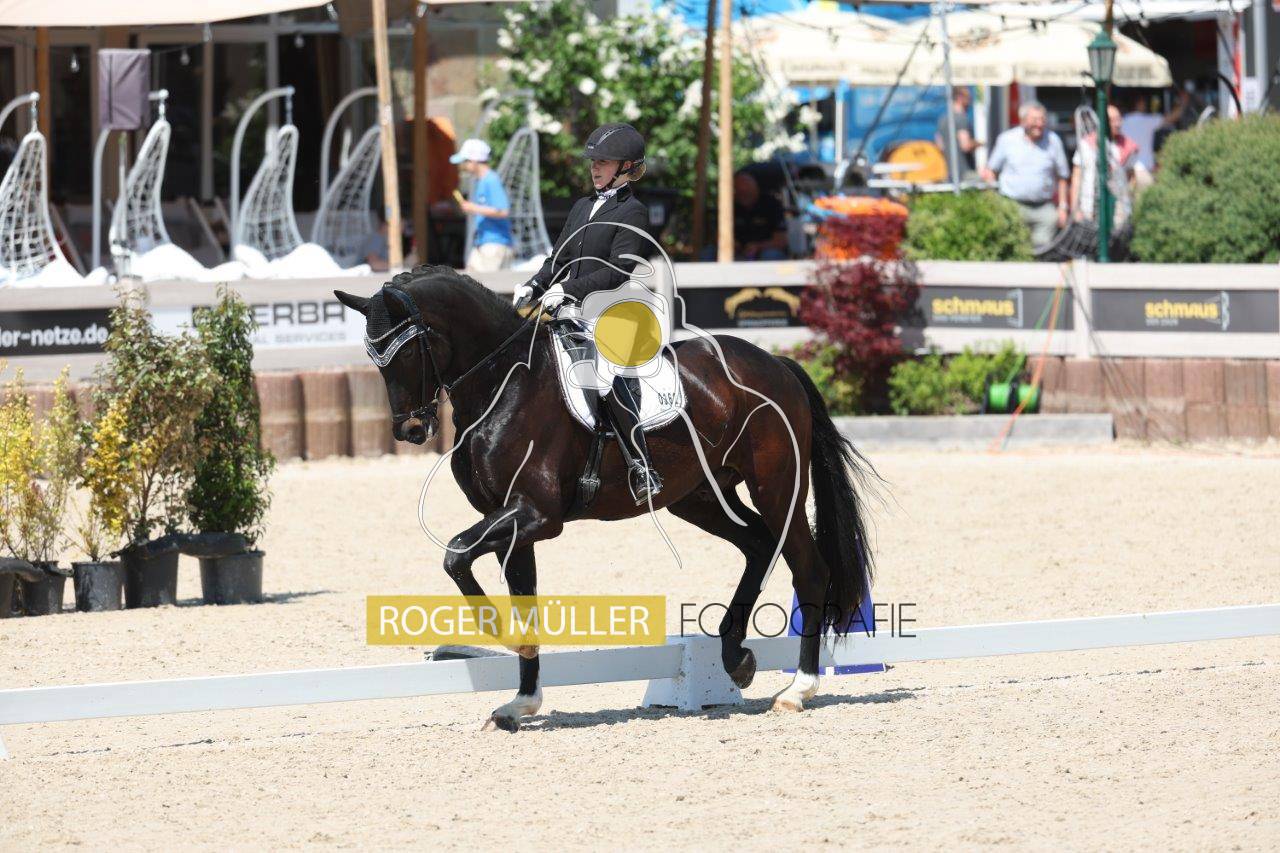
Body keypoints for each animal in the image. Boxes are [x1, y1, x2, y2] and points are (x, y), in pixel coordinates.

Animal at [336, 264, 877, 731]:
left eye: (407, 352)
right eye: (375, 359)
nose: (410, 430)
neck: (504, 383)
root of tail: (776, 364)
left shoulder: (537, 515)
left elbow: (455, 553)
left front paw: (495, 632)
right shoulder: (512, 521)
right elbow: (521, 597)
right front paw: (520, 702)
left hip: (777, 487)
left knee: (809, 568)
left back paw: (797, 689)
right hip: (700, 497)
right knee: (759, 546)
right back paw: (735, 658)